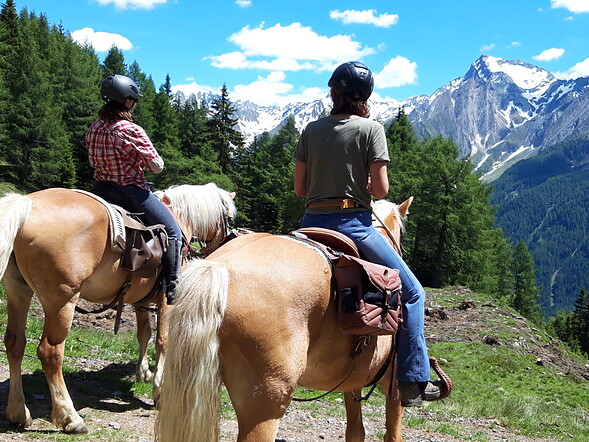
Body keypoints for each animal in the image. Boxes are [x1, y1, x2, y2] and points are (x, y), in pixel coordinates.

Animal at [0, 181, 234, 434]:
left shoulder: (142, 300)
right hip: (61, 301)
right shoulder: (166, 299)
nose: (227, 242)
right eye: (230, 216)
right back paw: (70, 418)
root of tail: (28, 203)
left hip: (18, 291)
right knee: (50, 353)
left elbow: (144, 334)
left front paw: (143, 372)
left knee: (14, 343)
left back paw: (18, 412)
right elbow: (163, 339)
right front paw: (159, 389)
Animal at [156, 199, 414, 442]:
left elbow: (355, 432)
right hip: (265, 407)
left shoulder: (352, 383)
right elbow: (392, 434)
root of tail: (220, 266)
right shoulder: (393, 386)